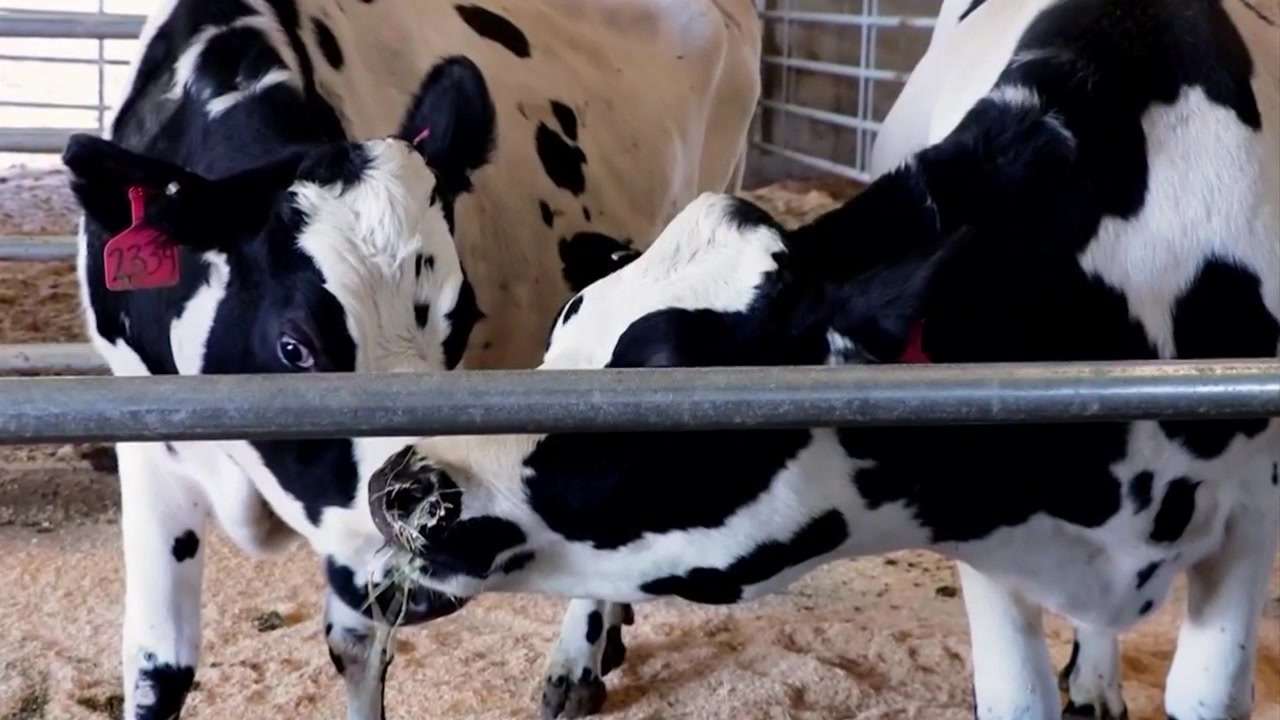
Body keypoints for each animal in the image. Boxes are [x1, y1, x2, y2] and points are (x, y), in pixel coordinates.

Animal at [62, 1, 760, 718]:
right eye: (295, 347)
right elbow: (159, 666)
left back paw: (577, 661)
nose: (423, 577)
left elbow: (356, 646)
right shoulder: (149, 437)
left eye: (461, 324)